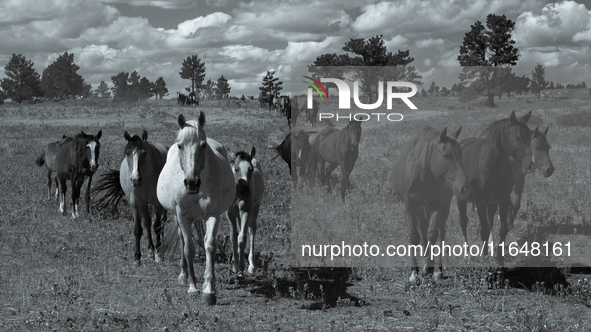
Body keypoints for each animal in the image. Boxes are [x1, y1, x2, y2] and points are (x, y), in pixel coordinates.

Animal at [91, 130, 168, 264]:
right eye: (128, 153)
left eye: (144, 152)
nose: (135, 179)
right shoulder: (135, 203)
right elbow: (138, 229)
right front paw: (137, 257)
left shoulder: (157, 203)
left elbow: (157, 226)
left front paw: (158, 255)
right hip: (144, 204)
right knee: (147, 223)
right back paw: (150, 250)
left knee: (162, 222)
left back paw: (159, 248)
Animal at [157, 113, 236, 304]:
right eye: (180, 145)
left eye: (203, 145)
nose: (191, 183)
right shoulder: (183, 216)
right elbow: (188, 248)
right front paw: (192, 286)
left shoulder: (213, 215)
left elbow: (209, 245)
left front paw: (209, 290)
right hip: (179, 218)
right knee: (182, 239)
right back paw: (184, 275)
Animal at [227, 147, 264, 276]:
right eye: (236, 169)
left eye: (251, 169)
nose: (246, 192)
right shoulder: (230, 213)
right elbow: (233, 236)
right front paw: (234, 265)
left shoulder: (246, 211)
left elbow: (242, 238)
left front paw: (241, 269)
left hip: (255, 207)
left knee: (252, 230)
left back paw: (252, 266)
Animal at [394, 126, 472, 282]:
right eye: (446, 155)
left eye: (461, 154)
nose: (464, 188)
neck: (424, 175)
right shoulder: (410, 205)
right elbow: (415, 235)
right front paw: (414, 273)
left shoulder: (438, 204)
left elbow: (433, 234)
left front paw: (433, 269)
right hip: (420, 208)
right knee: (423, 229)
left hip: (444, 207)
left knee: (440, 232)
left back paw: (435, 269)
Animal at [458, 111, 536, 264]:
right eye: (517, 136)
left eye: (530, 135)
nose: (530, 163)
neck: (490, 165)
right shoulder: (481, 203)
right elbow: (483, 231)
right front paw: (484, 256)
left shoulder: (502, 201)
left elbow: (502, 229)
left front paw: (499, 258)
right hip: (461, 199)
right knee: (463, 222)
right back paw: (467, 254)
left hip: (492, 203)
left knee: (490, 223)